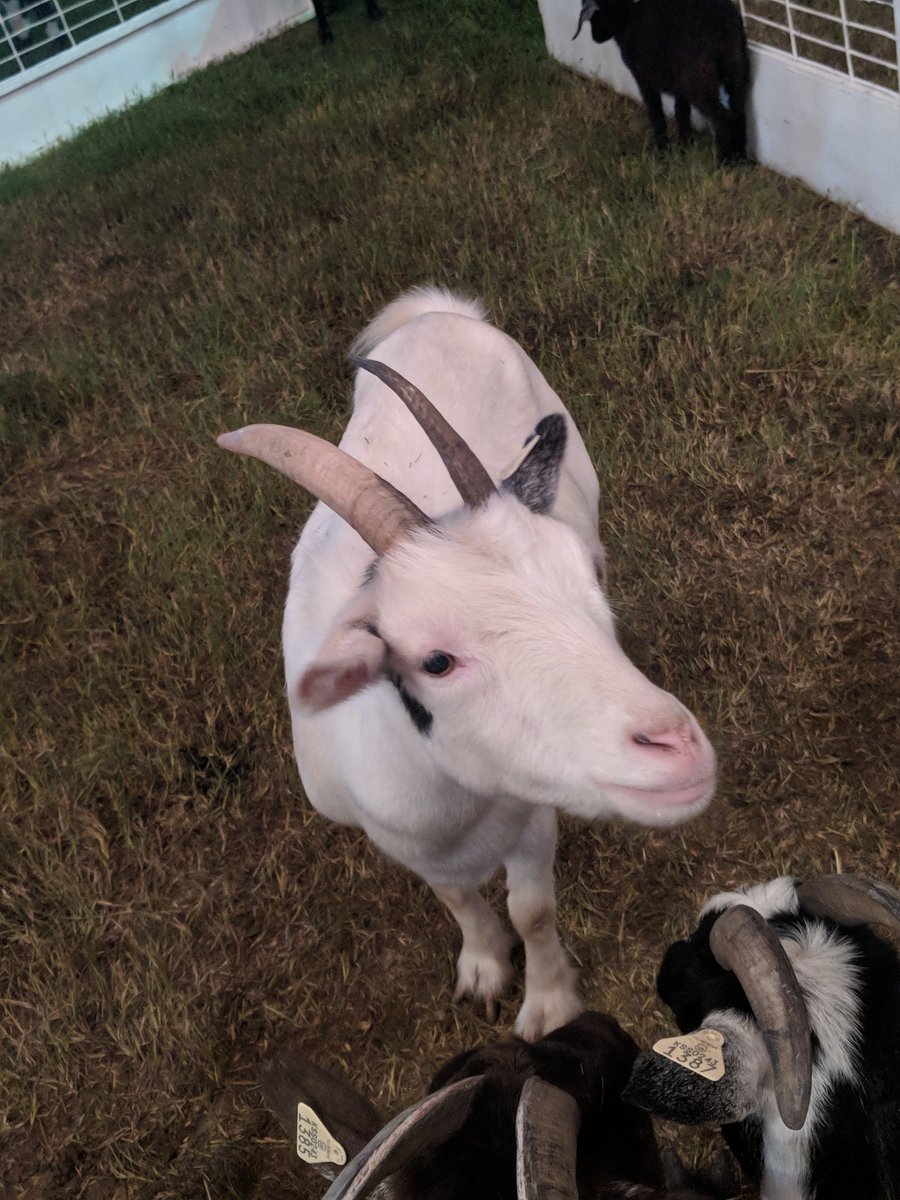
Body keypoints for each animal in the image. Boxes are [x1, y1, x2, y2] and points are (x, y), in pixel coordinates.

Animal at [218, 286, 716, 1041]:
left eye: (590, 575)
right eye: (436, 660)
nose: (676, 749)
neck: (456, 811)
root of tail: (438, 314)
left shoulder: (533, 810)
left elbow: (531, 910)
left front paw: (548, 1006)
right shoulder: (401, 842)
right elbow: (454, 898)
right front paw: (483, 967)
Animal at [573, 0, 751, 165]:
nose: (595, 37)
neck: (627, 18)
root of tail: (722, 27)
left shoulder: (644, 79)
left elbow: (656, 112)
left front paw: (663, 150)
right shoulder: (679, 85)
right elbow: (681, 112)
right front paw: (685, 145)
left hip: (698, 78)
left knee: (723, 118)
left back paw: (724, 162)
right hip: (736, 68)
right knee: (739, 113)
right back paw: (740, 158)